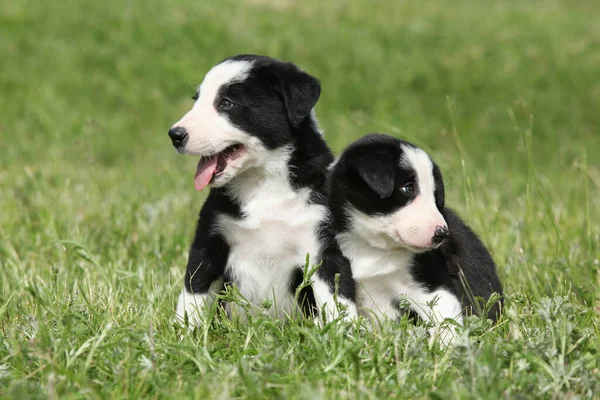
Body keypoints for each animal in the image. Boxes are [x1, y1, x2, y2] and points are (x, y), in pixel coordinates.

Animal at [168, 55, 356, 324]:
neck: (263, 181)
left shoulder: (324, 245)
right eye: (197, 100)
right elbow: (194, 291)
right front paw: (184, 330)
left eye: (227, 103)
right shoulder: (210, 239)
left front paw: (347, 333)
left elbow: (338, 300)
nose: (175, 135)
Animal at [326, 134, 504, 344]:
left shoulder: (431, 283)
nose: (442, 233)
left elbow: (446, 321)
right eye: (408, 188)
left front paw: (450, 348)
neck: (373, 247)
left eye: (435, 195)